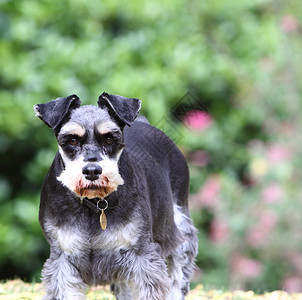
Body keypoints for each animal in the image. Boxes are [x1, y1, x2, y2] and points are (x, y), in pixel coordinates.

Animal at [34, 92, 198, 298]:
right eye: (72, 140)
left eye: (109, 139)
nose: (92, 171)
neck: (94, 205)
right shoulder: (61, 260)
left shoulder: (142, 255)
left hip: (179, 226)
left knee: (179, 273)